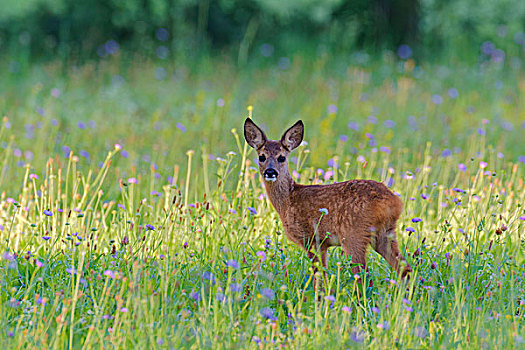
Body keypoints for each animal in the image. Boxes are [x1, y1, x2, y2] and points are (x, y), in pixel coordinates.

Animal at [244, 117, 412, 290]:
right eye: (261, 156)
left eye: (282, 157)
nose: (270, 172)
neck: (288, 200)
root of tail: (392, 201)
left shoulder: (312, 239)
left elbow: (319, 277)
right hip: (385, 232)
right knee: (405, 269)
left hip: (354, 233)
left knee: (363, 276)